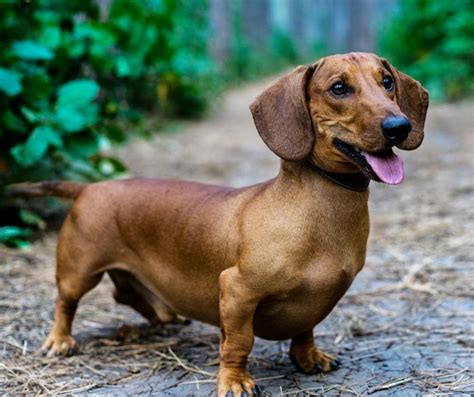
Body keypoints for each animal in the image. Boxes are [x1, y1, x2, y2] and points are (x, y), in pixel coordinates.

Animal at [11, 53, 428, 396]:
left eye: (387, 82)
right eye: (338, 88)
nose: (399, 126)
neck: (315, 207)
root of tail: (90, 187)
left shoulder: (315, 302)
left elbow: (305, 328)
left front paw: (309, 358)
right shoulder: (237, 291)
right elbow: (238, 343)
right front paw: (235, 382)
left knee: (125, 294)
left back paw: (162, 317)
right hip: (79, 271)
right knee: (66, 301)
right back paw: (60, 341)